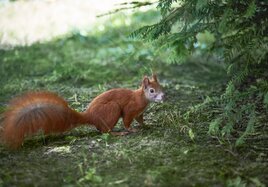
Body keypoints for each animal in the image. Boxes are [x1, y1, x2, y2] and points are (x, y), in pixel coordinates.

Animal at [0, 74, 164, 148]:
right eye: (151, 90)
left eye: (161, 87)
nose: (164, 96)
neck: (141, 98)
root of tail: (90, 116)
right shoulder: (130, 109)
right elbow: (127, 120)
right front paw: (131, 129)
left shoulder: (140, 112)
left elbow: (140, 120)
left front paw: (145, 125)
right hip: (112, 109)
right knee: (104, 131)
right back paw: (118, 133)